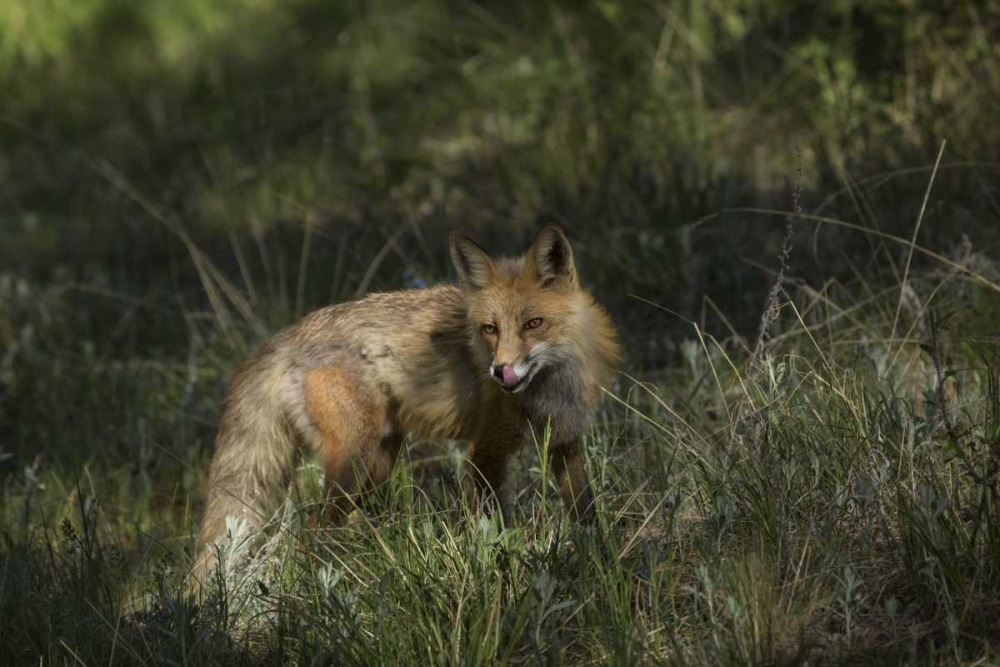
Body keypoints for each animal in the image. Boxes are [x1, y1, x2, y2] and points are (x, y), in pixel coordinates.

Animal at [193, 226, 616, 580]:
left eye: (533, 324)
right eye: (490, 329)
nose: (500, 371)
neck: (551, 390)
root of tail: (285, 335)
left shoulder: (565, 442)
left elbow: (587, 514)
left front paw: (604, 565)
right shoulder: (486, 452)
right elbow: (495, 529)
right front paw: (502, 574)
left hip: (379, 464)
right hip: (354, 461)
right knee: (313, 530)